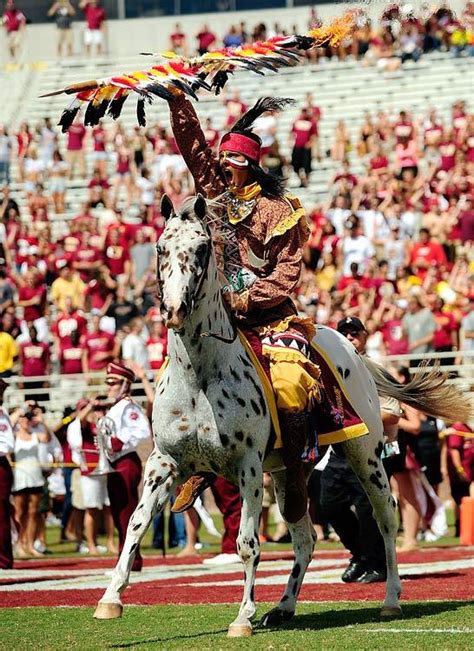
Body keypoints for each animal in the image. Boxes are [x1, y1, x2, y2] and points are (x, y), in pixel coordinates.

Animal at [94, 194, 472, 636]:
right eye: (160, 248)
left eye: (202, 248)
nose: (175, 309)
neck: (200, 378)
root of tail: (351, 349)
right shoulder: (163, 462)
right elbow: (135, 524)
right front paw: (111, 598)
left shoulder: (247, 466)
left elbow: (247, 542)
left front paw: (243, 615)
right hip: (287, 474)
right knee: (305, 539)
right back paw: (284, 606)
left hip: (366, 457)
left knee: (385, 520)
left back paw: (391, 599)